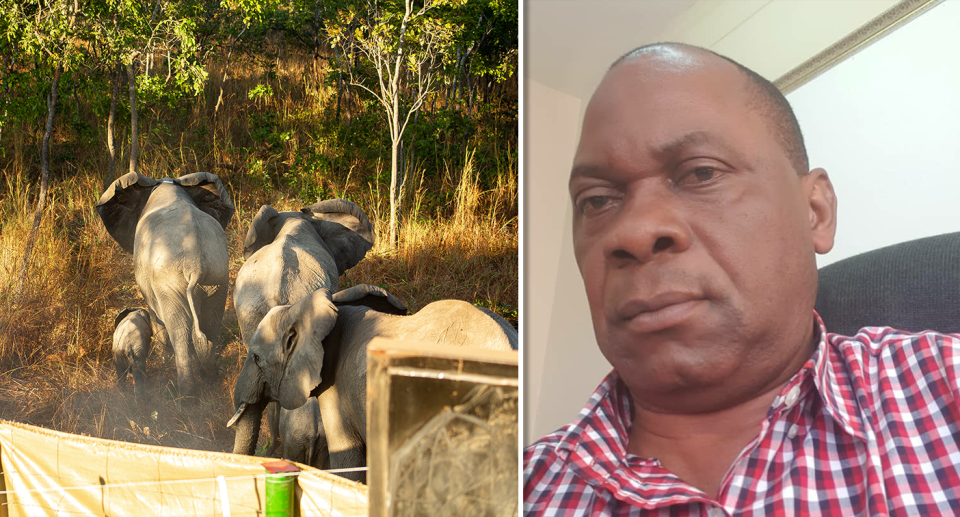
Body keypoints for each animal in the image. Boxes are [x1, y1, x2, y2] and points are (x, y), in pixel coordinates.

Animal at [96, 171, 235, 394]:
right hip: (218, 277)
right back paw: (209, 378)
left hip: (169, 281)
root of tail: (196, 264)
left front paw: (162, 355)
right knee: (210, 324)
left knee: (179, 329)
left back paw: (186, 392)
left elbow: (154, 311)